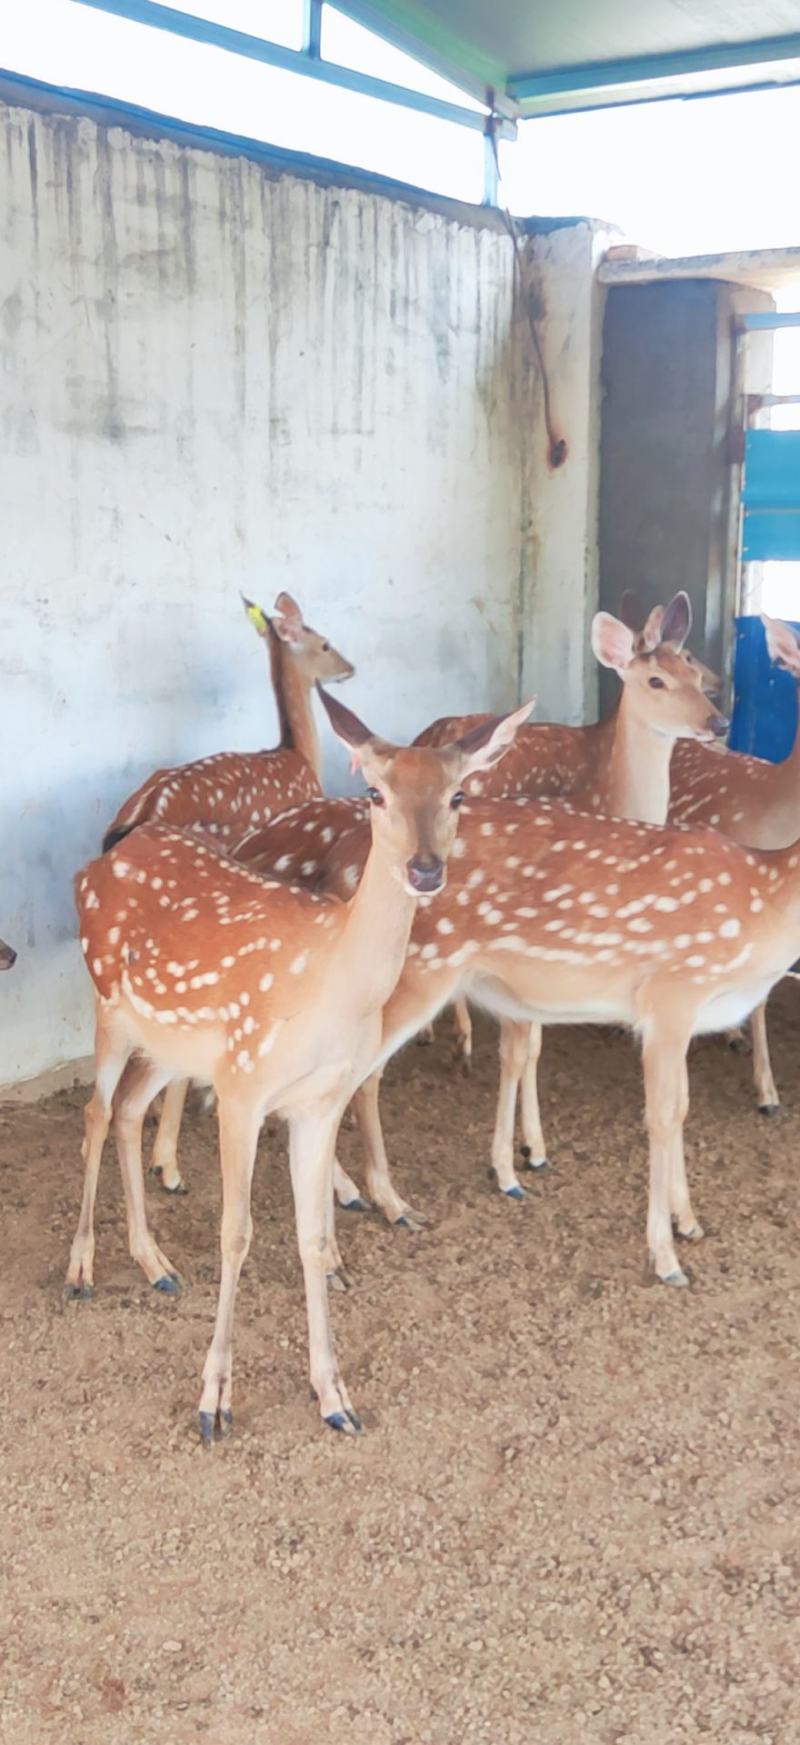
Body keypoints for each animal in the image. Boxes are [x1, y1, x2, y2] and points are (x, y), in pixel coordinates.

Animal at [66, 689, 532, 1440]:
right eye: (374, 791)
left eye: (458, 793)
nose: (425, 869)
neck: (327, 982)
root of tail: (96, 864)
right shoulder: (241, 1085)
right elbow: (236, 1233)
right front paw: (214, 1402)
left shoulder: (318, 1099)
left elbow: (312, 1237)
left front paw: (334, 1395)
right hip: (109, 1005)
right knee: (95, 1110)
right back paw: (81, 1267)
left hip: (171, 1044)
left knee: (131, 1110)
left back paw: (155, 1262)